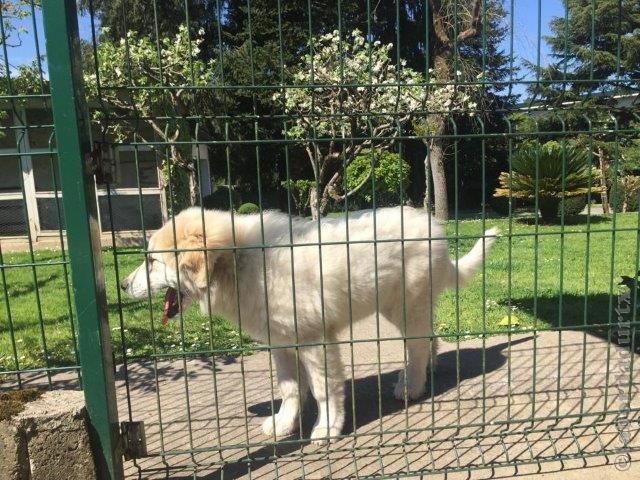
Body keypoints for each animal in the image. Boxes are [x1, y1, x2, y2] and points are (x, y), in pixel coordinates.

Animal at [121, 205, 500, 442]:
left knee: (417, 344)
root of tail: (432, 226)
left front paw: (327, 428)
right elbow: (289, 388)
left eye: (152, 262)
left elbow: (323, 389)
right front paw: (283, 424)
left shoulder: (314, 340)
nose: (122, 286)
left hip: (405, 304)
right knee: (427, 338)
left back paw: (411, 385)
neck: (240, 263)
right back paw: (425, 372)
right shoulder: (280, 342)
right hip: (410, 305)